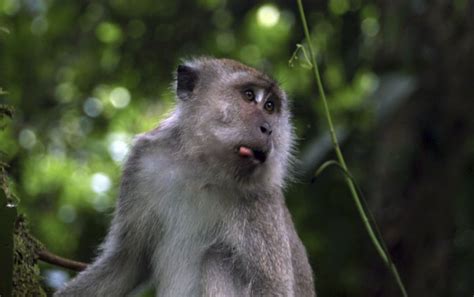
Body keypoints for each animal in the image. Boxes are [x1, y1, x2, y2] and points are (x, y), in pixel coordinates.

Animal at [54, 56, 314, 294]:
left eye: (270, 106)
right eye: (249, 95)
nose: (268, 129)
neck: (204, 169)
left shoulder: (261, 197)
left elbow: (272, 289)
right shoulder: (142, 163)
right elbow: (126, 262)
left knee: (216, 258)